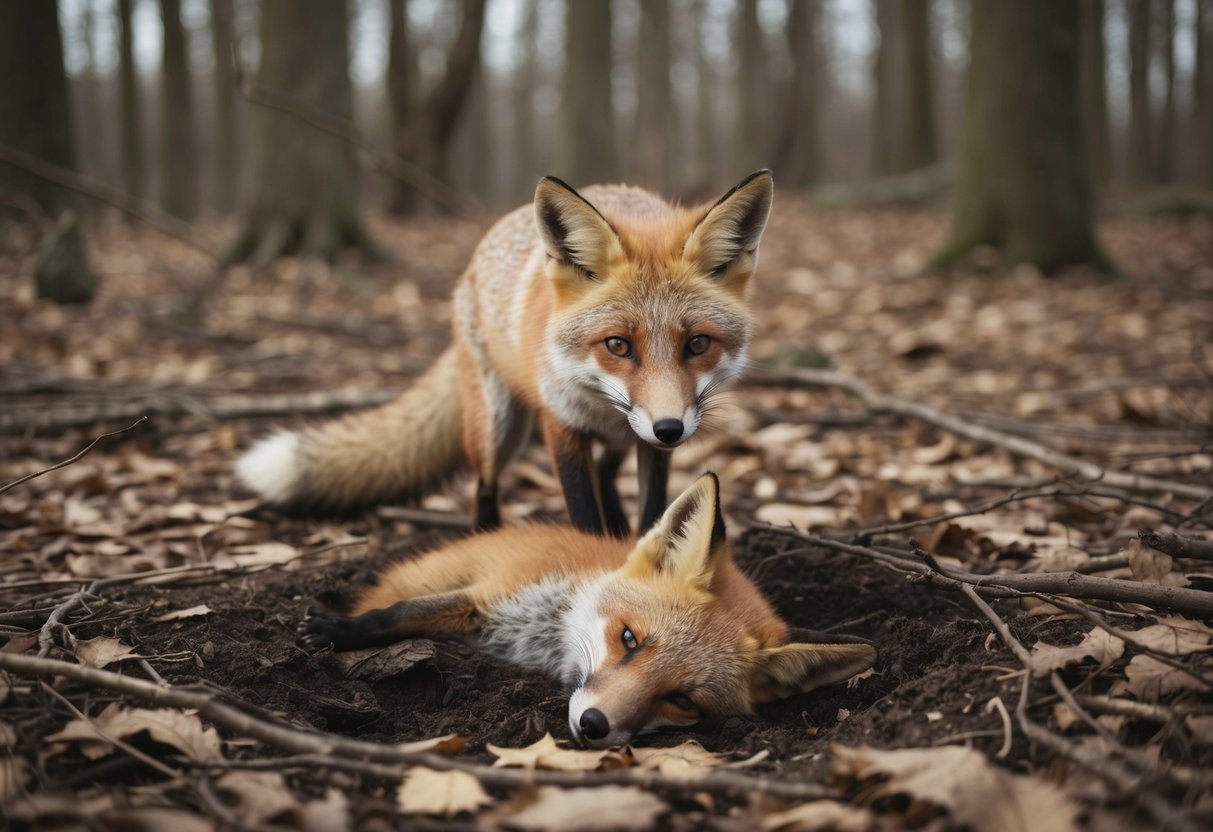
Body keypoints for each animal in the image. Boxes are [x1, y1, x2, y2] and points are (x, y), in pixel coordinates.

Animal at [237, 171, 774, 536]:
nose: (670, 429)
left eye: (697, 343)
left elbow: (651, 515)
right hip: (497, 426)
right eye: (618, 345)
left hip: (619, 436)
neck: (600, 405)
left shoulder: (647, 443)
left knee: (606, 472)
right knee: (485, 487)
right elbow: (583, 517)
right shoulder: (561, 426)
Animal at [299, 473, 877, 748]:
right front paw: (338, 630)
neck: (547, 634)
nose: (594, 726)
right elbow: (397, 614)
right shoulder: (487, 597)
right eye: (629, 639)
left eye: (683, 701)